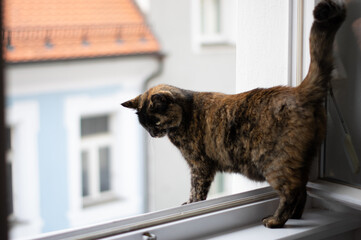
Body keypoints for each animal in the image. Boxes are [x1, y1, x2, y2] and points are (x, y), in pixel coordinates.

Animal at [122, 0, 344, 229]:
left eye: (155, 123)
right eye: (145, 126)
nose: (151, 134)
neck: (186, 113)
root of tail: (299, 91)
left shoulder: (199, 165)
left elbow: (196, 191)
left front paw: (190, 205)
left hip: (274, 163)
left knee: (291, 191)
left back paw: (275, 221)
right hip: (302, 161)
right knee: (303, 189)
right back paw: (296, 216)